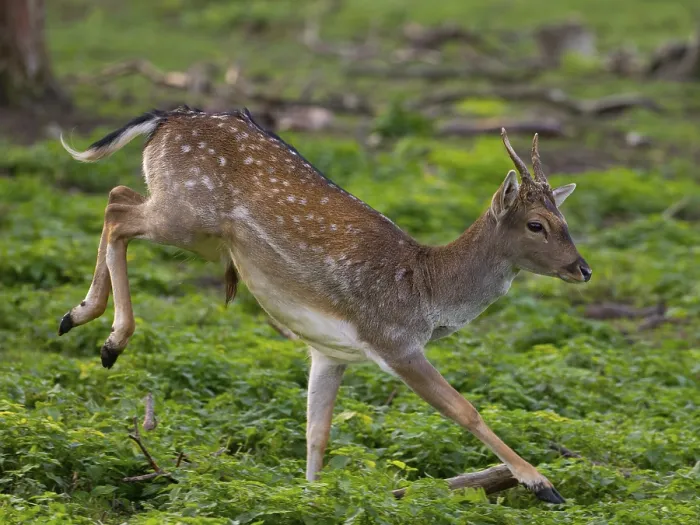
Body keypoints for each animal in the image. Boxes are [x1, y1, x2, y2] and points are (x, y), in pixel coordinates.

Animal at [58, 105, 591, 504]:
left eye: (565, 219)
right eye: (537, 225)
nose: (583, 268)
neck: (427, 293)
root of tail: (165, 119)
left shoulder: (331, 352)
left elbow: (317, 432)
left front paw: (311, 496)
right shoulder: (394, 342)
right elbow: (465, 410)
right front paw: (542, 484)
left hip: (194, 229)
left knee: (117, 196)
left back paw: (76, 316)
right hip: (188, 216)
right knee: (118, 210)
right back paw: (109, 339)